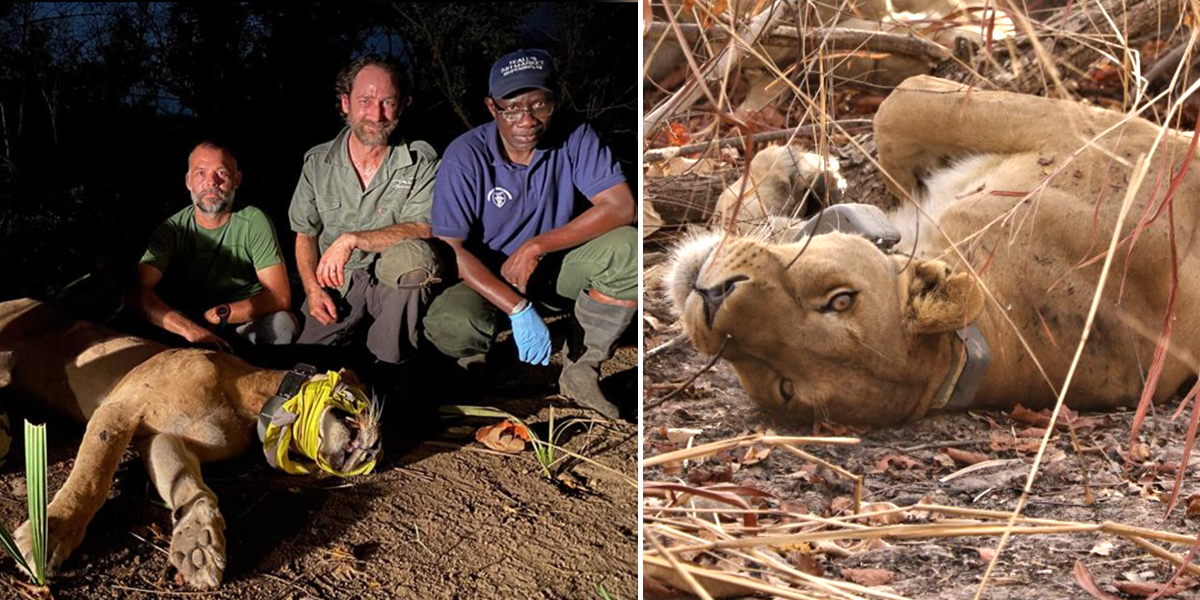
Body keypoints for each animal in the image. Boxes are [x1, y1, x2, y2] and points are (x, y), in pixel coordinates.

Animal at [0, 298, 382, 588]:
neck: (252, 402)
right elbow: (91, 477)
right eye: (363, 401)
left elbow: (191, 488)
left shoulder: (163, 438)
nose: (375, 450)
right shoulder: (120, 408)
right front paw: (47, 533)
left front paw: (198, 542)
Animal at [668, 75, 1200, 425]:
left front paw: (795, 169)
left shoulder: (1108, 139)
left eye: (839, 302)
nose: (712, 298)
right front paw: (806, 176)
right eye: (783, 385)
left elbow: (898, 106)